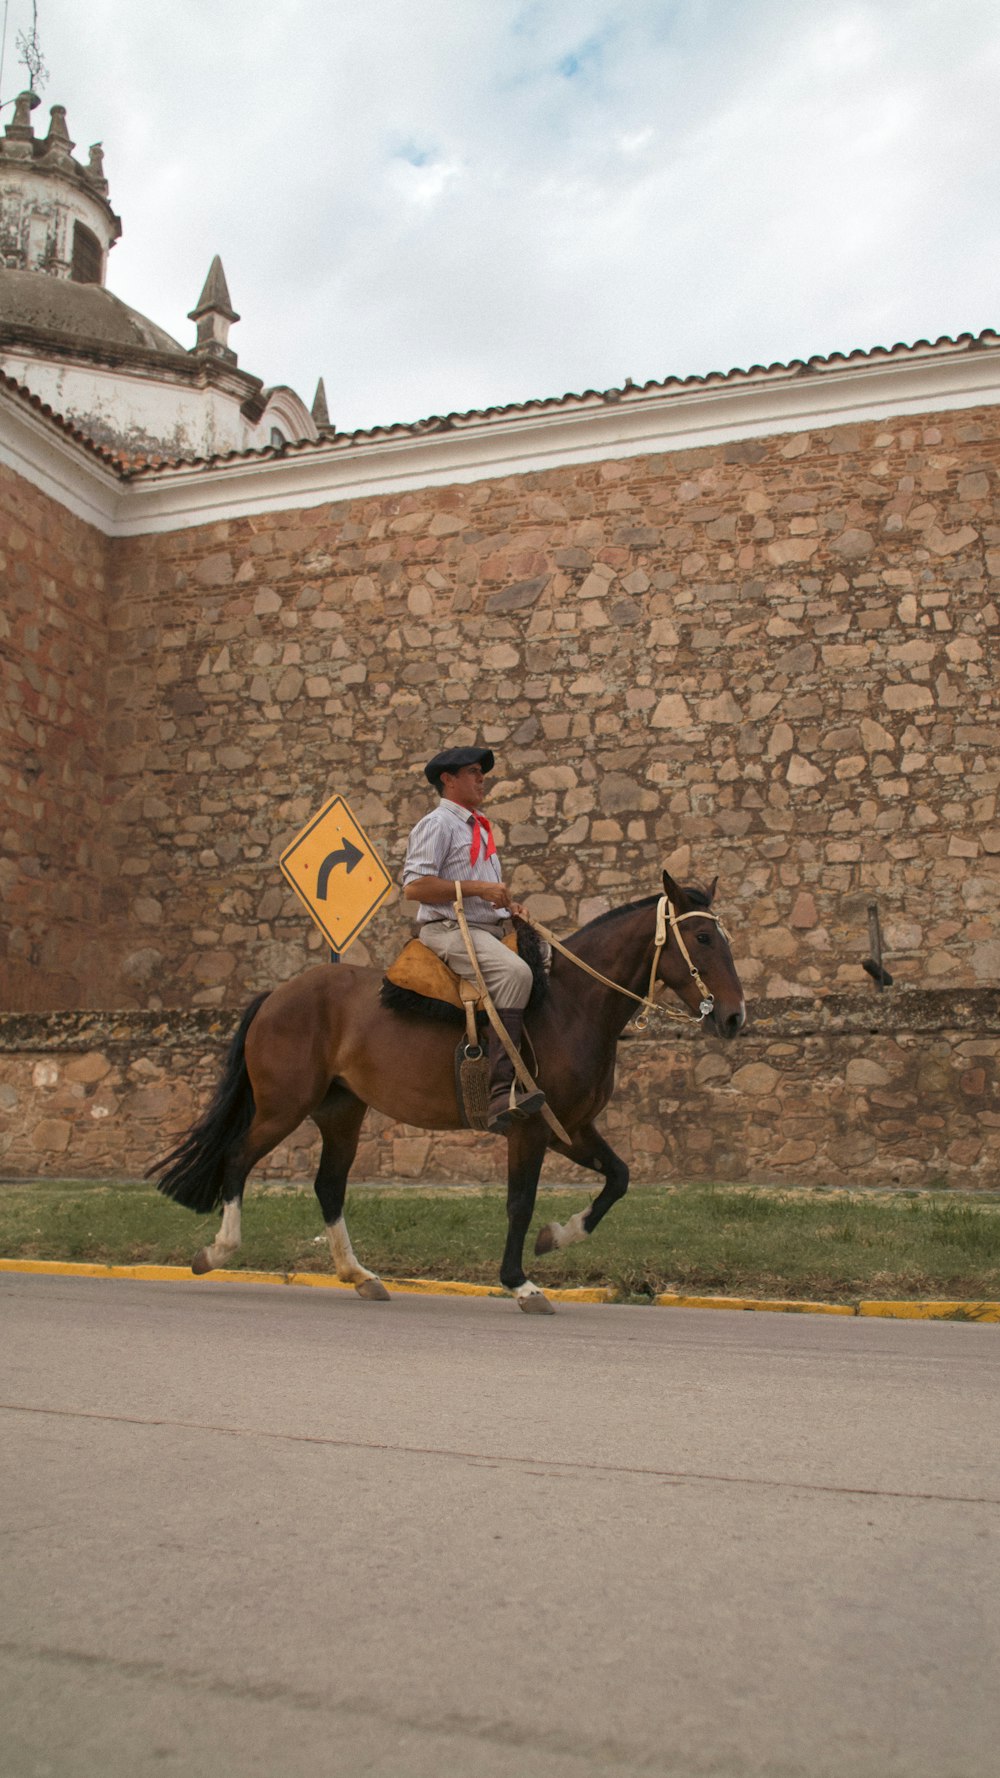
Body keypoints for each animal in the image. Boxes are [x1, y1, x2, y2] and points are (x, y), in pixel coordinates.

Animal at [147, 871, 740, 1308]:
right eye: (703, 938)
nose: (734, 1017)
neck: (569, 1006)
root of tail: (276, 994)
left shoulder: (569, 1128)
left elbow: (618, 1178)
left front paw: (558, 1236)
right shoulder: (529, 1128)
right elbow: (520, 1203)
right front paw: (519, 1281)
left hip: (341, 1112)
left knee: (329, 1186)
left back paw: (359, 1275)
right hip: (281, 1108)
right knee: (237, 1158)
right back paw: (218, 1251)